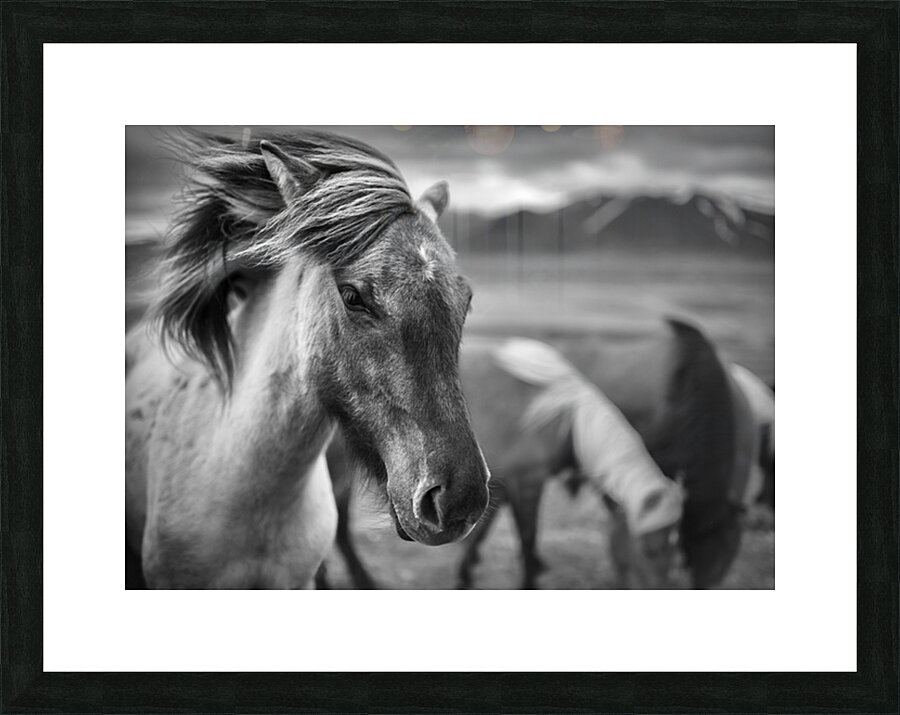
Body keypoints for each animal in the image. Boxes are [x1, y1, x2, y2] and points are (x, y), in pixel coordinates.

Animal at [324, 317, 756, 590]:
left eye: (676, 544)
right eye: (649, 549)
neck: (563, 417)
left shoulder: (495, 482)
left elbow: (485, 532)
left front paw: (465, 573)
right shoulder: (527, 481)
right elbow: (528, 537)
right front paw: (529, 579)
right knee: (336, 526)